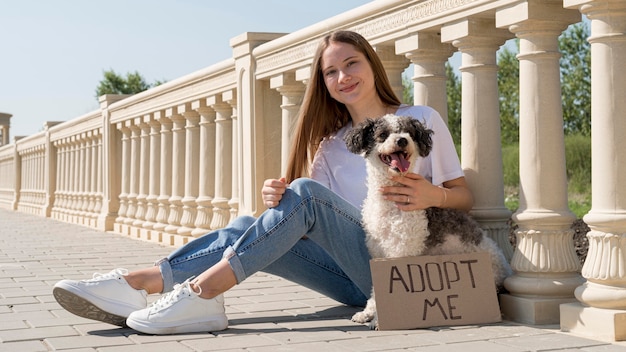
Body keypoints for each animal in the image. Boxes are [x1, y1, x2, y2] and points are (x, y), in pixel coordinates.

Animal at [344, 114, 510, 328]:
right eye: (383, 134)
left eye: (408, 132)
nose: (402, 140)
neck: (390, 203)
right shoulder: (378, 252)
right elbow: (375, 289)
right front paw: (368, 313)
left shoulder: (401, 252)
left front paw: (379, 320)